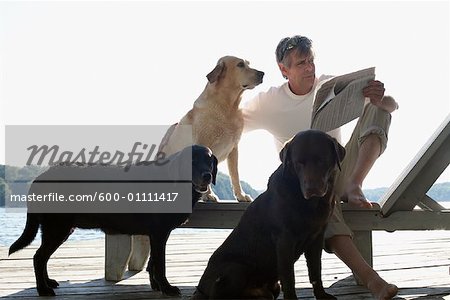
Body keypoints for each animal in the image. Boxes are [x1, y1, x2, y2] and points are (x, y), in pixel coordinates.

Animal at [192, 130, 344, 298]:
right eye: (298, 162)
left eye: (321, 160)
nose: (311, 188)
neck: (311, 203)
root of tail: (200, 288)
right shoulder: (284, 240)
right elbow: (289, 278)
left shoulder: (317, 238)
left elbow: (316, 271)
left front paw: (322, 295)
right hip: (235, 268)